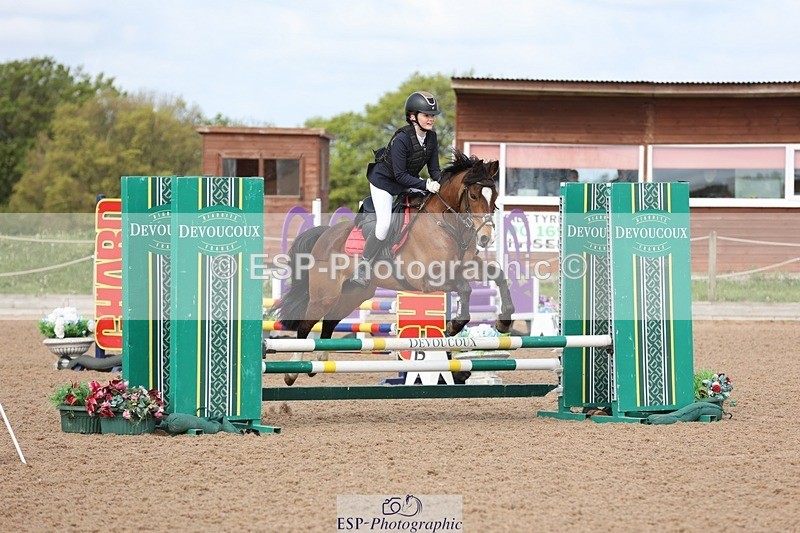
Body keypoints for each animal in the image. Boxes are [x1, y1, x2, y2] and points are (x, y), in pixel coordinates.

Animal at [273, 149, 515, 385]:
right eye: (473, 196)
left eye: (494, 197)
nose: (486, 238)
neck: (446, 224)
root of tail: (325, 234)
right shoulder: (428, 279)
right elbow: (464, 287)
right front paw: (454, 326)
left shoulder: (465, 266)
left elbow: (498, 275)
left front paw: (504, 322)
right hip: (325, 295)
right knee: (305, 326)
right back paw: (293, 372)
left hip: (353, 294)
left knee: (330, 320)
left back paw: (321, 360)